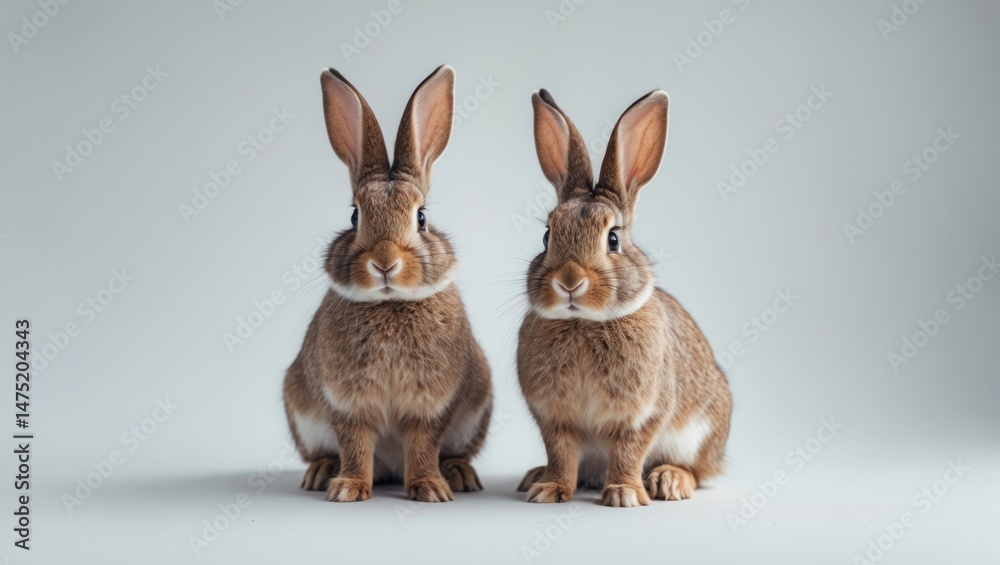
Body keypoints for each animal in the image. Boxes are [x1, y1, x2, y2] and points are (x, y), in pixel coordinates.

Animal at [283, 65, 492, 503]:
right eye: (354, 217)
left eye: (422, 218)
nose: (384, 262)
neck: (390, 302)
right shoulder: (347, 405)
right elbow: (355, 444)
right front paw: (348, 489)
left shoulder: (432, 408)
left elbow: (424, 444)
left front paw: (429, 489)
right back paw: (321, 472)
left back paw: (459, 475)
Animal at [515, 89, 732, 507]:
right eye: (547, 236)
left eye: (613, 239)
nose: (570, 281)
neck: (583, 323)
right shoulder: (554, 418)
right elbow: (560, 453)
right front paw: (549, 490)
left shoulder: (646, 414)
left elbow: (629, 451)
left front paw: (624, 494)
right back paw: (534, 475)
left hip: (700, 435)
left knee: (699, 471)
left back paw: (669, 480)